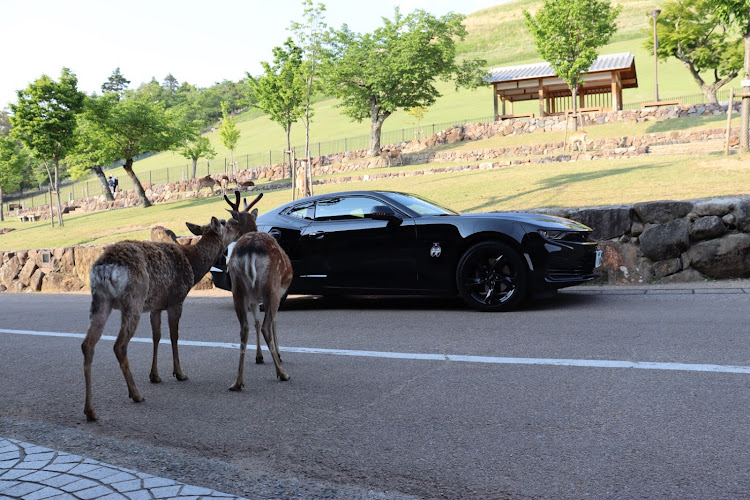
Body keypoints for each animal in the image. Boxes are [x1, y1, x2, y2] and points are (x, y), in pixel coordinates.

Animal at [81, 191, 264, 422]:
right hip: (133, 300)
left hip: (99, 300)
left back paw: (90, 410)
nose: (240, 226)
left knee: (87, 344)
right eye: (225, 222)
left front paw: (155, 375)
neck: (193, 264)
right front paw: (179, 373)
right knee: (119, 345)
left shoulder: (156, 305)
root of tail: (106, 268)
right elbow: (174, 336)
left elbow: (157, 336)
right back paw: (135, 394)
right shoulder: (177, 298)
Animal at [228, 230, 292, 390]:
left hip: (237, 288)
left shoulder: (253, 300)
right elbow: (274, 322)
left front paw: (259, 356)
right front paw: (279, 354)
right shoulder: (279, 294)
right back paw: (282, 373)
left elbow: (256, 321)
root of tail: (251, 249)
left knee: (244, 328)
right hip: (271, 286)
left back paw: (238, 382)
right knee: (266, 326)